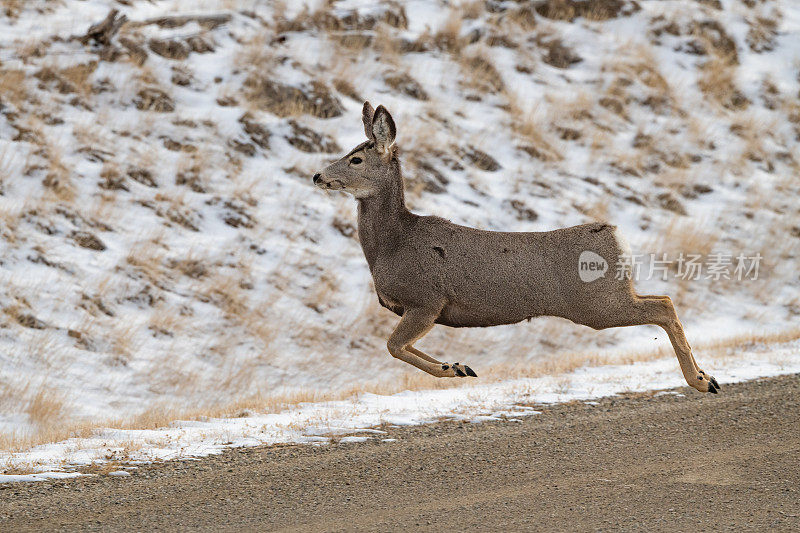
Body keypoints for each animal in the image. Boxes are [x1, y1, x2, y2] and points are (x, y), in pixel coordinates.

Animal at [310, 104, 720, 392]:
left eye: (356, 158)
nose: (317, 175)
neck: (390, 244)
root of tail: (616, 234)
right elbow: (398, 348)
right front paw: (460, 366)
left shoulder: (426, 300)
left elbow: (393, 346)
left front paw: (452, 368)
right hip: (608, 297)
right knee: (663, 299)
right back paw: (705, 377)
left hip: (597, 303)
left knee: (663, 305)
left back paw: (702, 381)